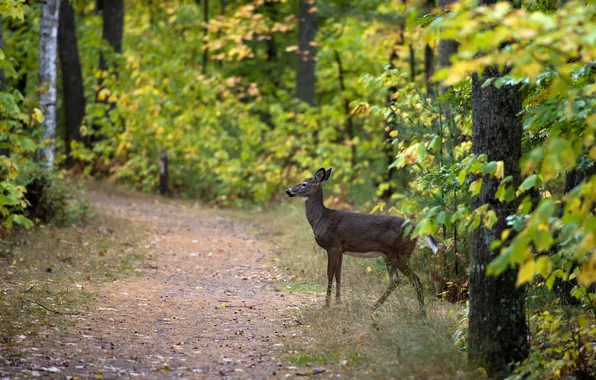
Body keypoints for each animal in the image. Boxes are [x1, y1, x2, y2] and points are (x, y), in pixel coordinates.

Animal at [286, 168, 440, 314]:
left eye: (304, 184)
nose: (288, 191)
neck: (321, 219)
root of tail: (415, 227)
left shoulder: (332, 245)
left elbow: (329, 274)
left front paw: (327, 304)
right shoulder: (341, 249)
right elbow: (338, 274)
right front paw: (338, 301)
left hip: (401, 253)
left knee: (416, 280)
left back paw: (422, 312)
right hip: (389, 255)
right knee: (395, 281)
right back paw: (376, 307)